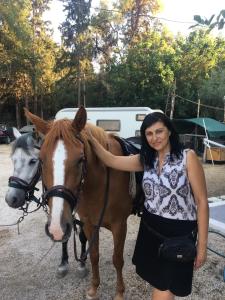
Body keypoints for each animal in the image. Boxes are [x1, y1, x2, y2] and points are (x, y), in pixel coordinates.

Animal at [24, 106, 134, 298]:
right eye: (41, 160)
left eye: (80, 159)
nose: (57, 228)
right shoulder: (89, 224)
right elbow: (94, 255)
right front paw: (94, 288)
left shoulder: (120, 225)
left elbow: (117, 259)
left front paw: (119, 292)